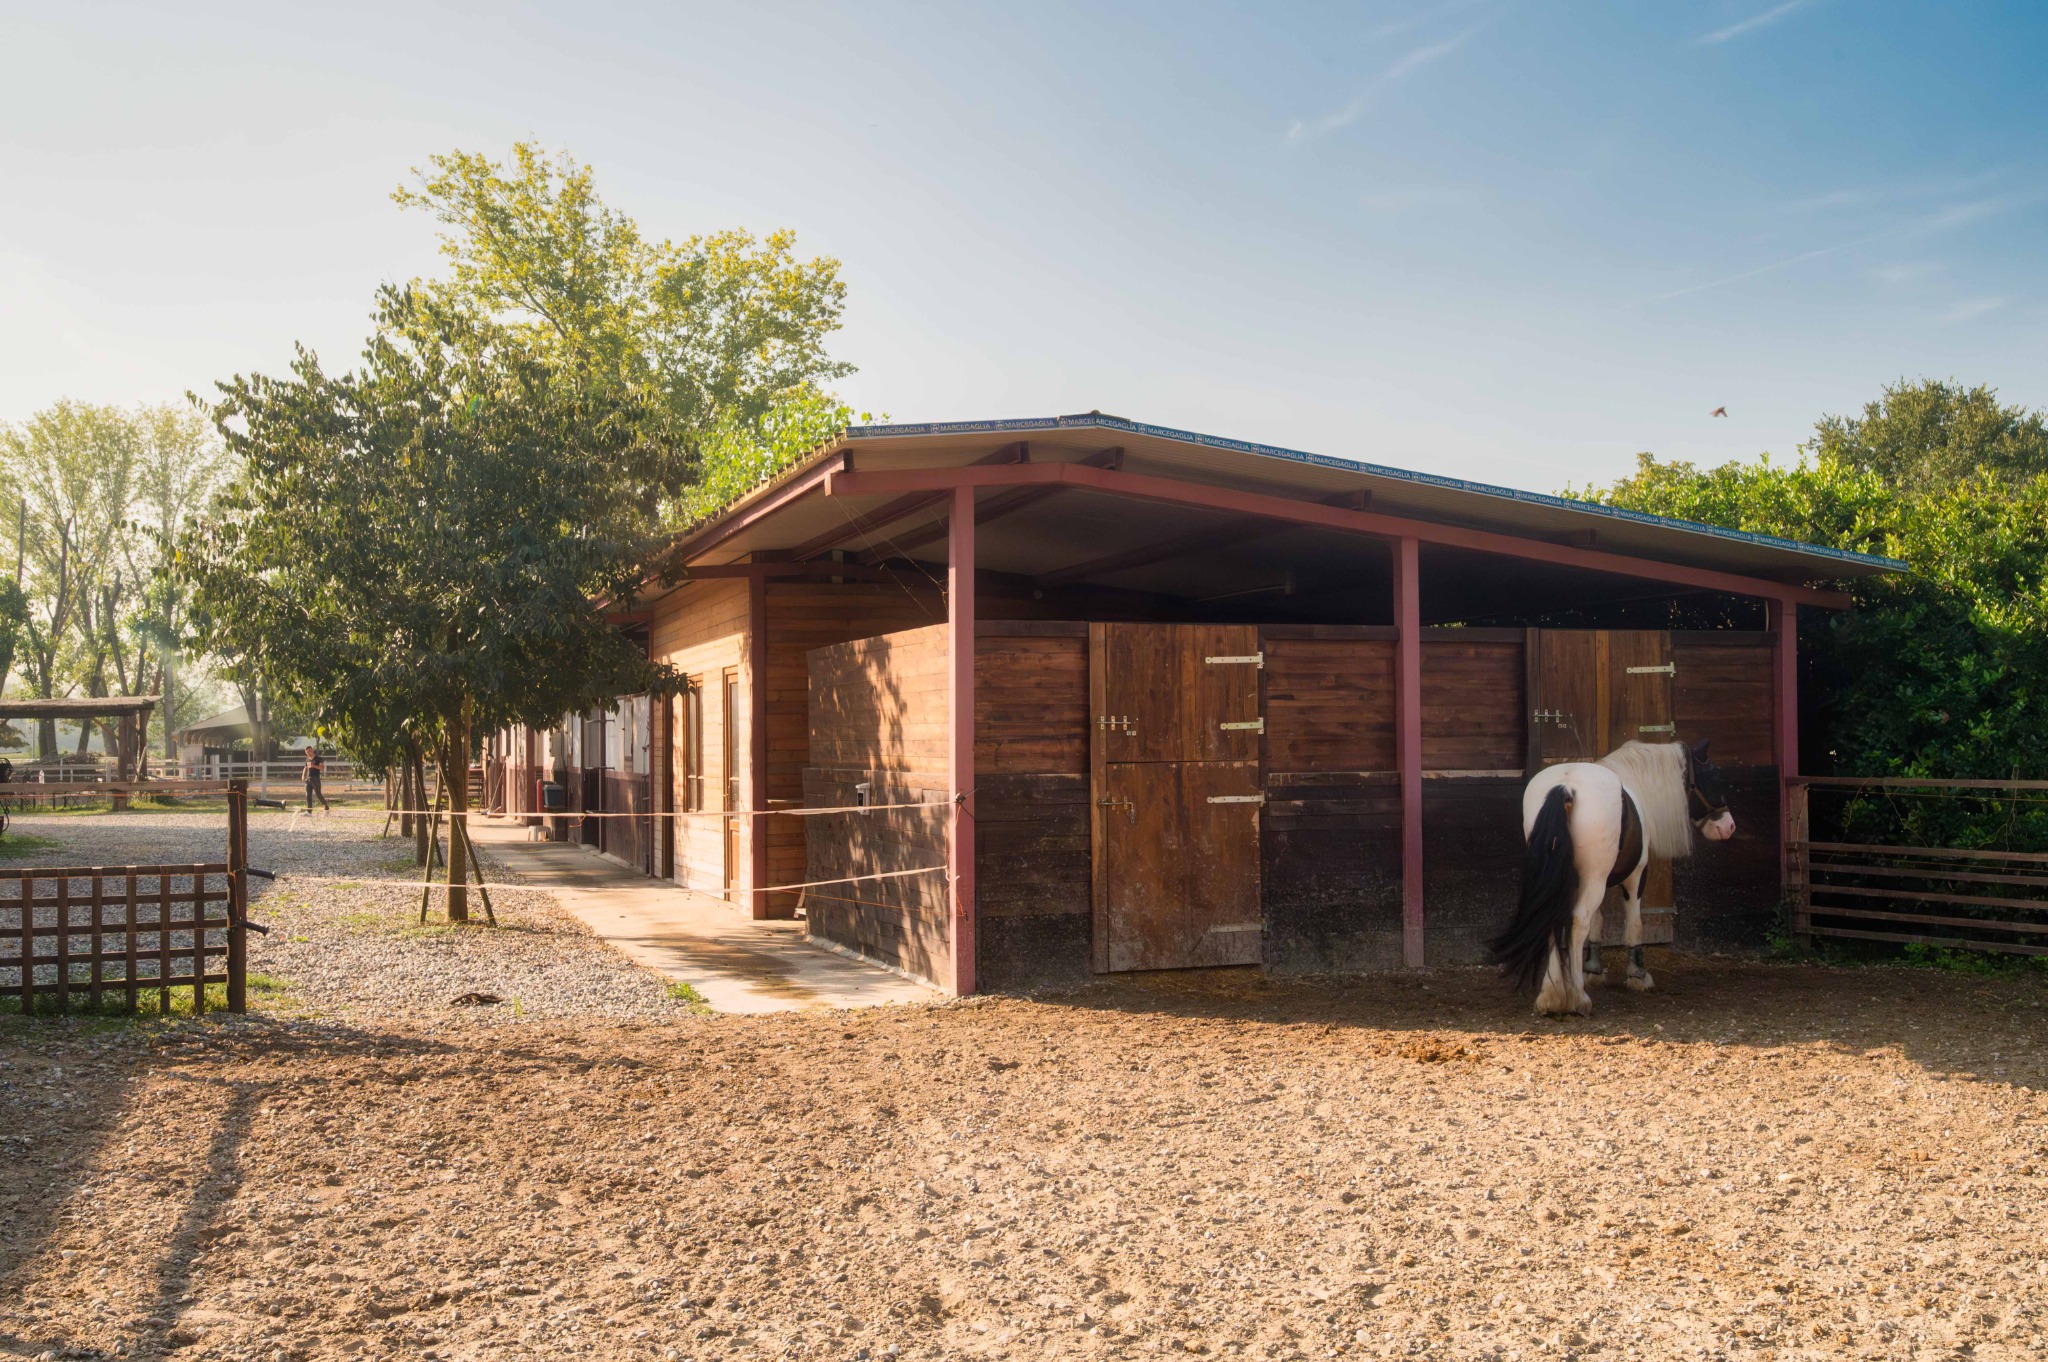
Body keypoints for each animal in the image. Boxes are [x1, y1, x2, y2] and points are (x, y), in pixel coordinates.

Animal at [1488, 740, 1735, 1016]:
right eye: (1713, 777)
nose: (1728, 827)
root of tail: (1565, 786)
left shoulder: (1590, 882)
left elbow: (1597, 923)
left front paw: (1593, 970)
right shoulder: (1635, 877)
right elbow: (1634, 925)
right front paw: (1638, 975)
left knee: (1552, 920)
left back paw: (1551, 997)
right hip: (1594, 880)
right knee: (1578, 922)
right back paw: (1578, 997)